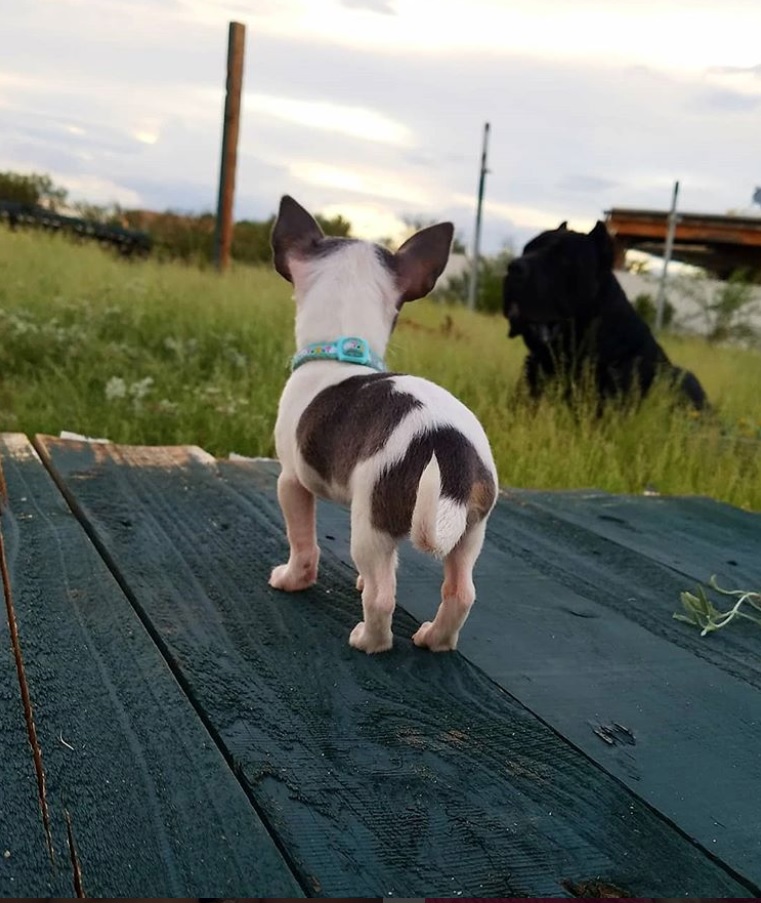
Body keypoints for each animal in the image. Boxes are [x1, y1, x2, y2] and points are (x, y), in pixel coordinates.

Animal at [268, 196, 498, 656]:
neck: (343, 349)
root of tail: (448, 446)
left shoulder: (291, 482)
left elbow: (303, 542)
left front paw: (292, 579)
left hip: (370, 525)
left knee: (381, 597)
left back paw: (368, 640)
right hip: (469, 531)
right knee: (460, 592)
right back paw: (435, 639)